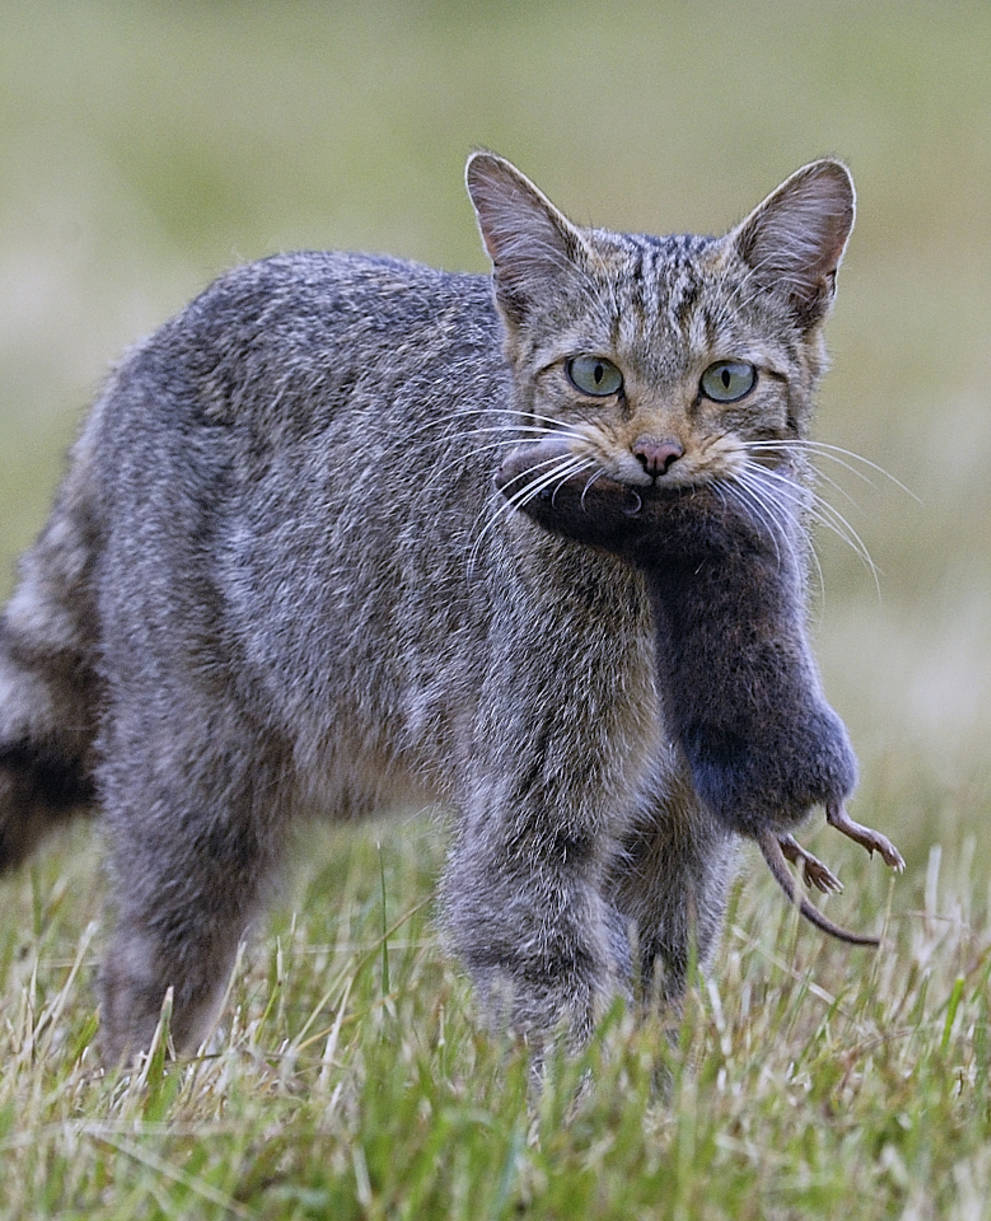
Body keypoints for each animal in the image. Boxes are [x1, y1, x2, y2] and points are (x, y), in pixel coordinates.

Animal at [0, 150, 849, 1059]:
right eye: (595, 374)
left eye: (726, 380)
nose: (655, 453)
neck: (658, 585)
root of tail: (142, 354)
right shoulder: (527, 823)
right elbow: (551, 987)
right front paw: (571, 1101)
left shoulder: (680, 838)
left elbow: (655, 1000)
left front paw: (644, 1091)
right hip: (197, 771)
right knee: (147, 964)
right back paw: (144, 1080)